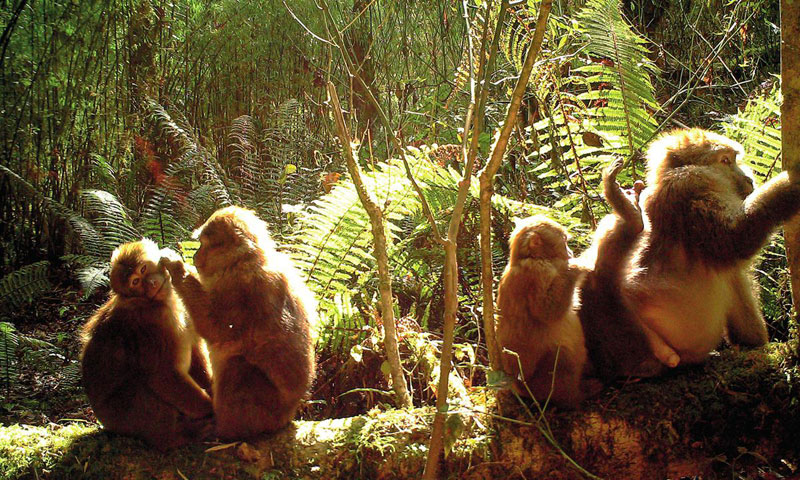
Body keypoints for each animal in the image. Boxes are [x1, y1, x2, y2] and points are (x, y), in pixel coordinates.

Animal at [79, 240, 214, 450]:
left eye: (143, 269)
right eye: (135, 282)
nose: (151, 284)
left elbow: (195, 352)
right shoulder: (154, 326)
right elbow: (164, 376)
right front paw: (212, 408)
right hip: (122, 419)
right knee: (142, 387)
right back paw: (175, 436)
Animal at [160, 205, 316, 438]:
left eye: (204, 244)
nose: (195, 256)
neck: (243, 260)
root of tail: (288, 414)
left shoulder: (240, 287)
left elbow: (217, 330)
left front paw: (177, 267)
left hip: (267, 411)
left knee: (238, 366)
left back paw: (226, 432)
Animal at [496, 216, 592, 406]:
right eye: (564, 241)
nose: (570, 252)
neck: (530, 257)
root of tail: (519, 387)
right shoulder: (537, 273)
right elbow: (547, 312)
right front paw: (576, 266)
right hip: (540, 384)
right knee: (562, 356)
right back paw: (575, 397)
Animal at [620, 126, 800, 368]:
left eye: (734, 159)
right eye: (725, 160)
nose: (748, 178)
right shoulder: (693, 182)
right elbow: (734, 239)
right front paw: (794, 182)